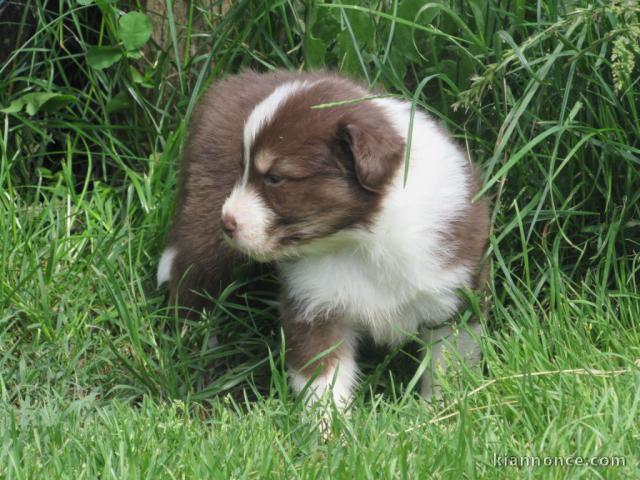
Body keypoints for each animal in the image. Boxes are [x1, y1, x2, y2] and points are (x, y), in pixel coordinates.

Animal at [160, 70, 490, 404]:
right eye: (242, 169)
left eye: (275, 178)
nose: (226, 222)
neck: (363, 241)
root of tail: (230, 83)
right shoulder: (314, 304)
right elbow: (321, 378)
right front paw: (329, 420)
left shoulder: (454, 295)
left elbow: (448, 364)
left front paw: (440, 408)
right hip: (205, 229)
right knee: (191, 278)